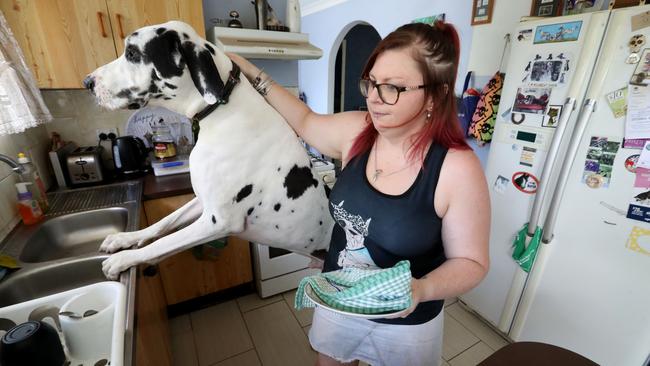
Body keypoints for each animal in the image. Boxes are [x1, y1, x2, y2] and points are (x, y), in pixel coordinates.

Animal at [83, 21, 332, 278]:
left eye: (132, 53)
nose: (87, 82)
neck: (224, 111)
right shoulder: (202, 202)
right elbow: (164, 223)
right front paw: (126, 238)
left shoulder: (217, 221)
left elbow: (164, 243)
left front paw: (125, 259)